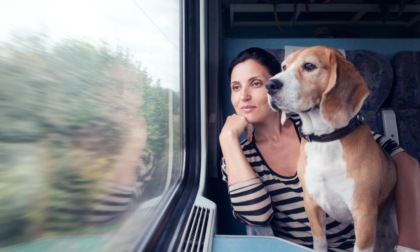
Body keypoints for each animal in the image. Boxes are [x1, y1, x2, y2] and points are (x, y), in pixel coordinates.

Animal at [266, 45, 398, 252]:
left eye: (309, 66)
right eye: (284, 66)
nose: (269, 85)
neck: (325, 140)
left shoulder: (364, 214)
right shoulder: (312, 205)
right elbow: (320, 242)